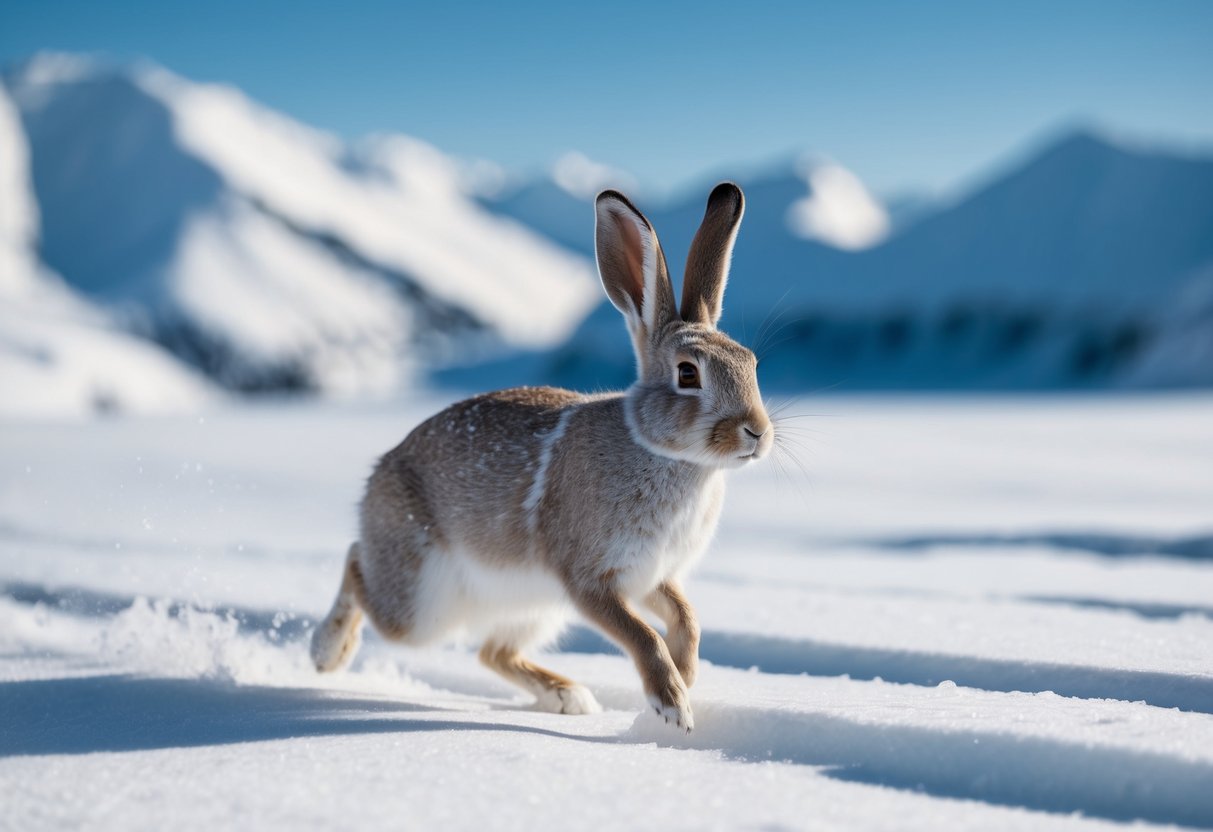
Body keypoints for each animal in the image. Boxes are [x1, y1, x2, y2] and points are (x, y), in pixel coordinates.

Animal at [310, 182, 772, 731]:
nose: (757, 432)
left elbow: (687, 619)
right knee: (357, 566)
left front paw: (687, 677)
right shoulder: (588, 580)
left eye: (751, 362)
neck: (662, 452)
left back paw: (568, 697)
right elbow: (641, 636)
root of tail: (376, 479)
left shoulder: (652, 576)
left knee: (492, 653)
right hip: (422, 604)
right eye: (687, 373)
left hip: (532, 609)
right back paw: (326, 652)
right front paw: (671, 705)